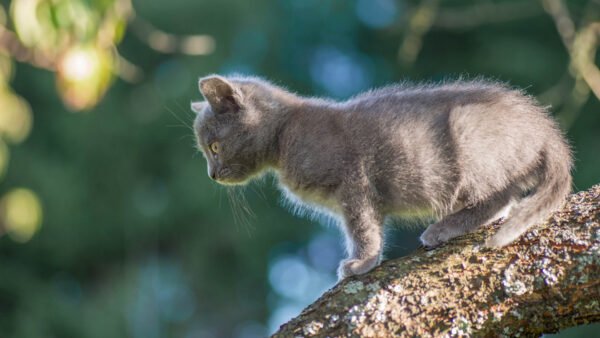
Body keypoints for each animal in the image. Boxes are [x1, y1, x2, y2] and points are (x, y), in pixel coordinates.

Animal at [191, 74, 572, 280]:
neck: (285, 134)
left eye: (214, 146)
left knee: (499, 197)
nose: (211, 175)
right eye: (205, 151)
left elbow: (362, 227)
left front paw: (362, 262)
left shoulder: (353, 179)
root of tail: (544, 127)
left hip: (466, 137)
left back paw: (443, 228)